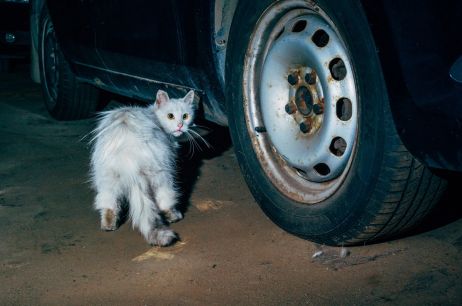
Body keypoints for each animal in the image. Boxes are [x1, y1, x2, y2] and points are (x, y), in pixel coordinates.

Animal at [90, 89, 197, 247]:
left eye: (185, 116)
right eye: (170, 116)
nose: (180, 126)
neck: (153, 115)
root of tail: (128, 155)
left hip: (106, 178)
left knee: (108, 203)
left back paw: (108, 225)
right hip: (163, 173)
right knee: (165, 199)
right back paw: (174, 216)